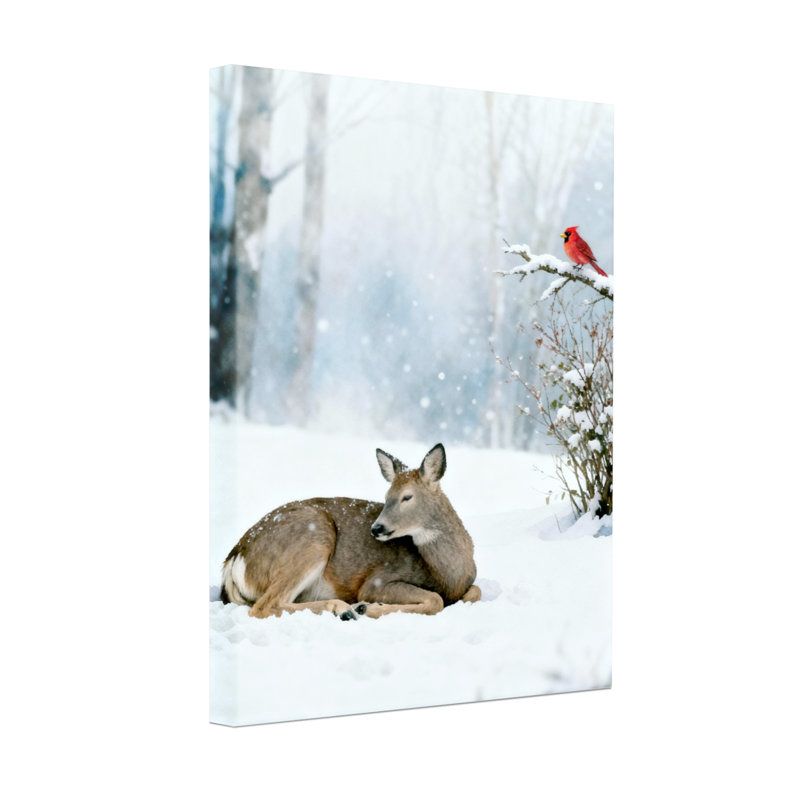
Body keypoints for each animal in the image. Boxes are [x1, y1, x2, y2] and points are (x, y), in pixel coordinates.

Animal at [219, 443, 481, 620]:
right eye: (386, 496)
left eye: (407, 497)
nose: (377, 528)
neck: (448, 575)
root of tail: (234, 558)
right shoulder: (377, 580)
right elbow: (435, 599)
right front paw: (368, 607)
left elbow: (475, 592)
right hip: (313, 539)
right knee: (263, 606)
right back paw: (343, 608)